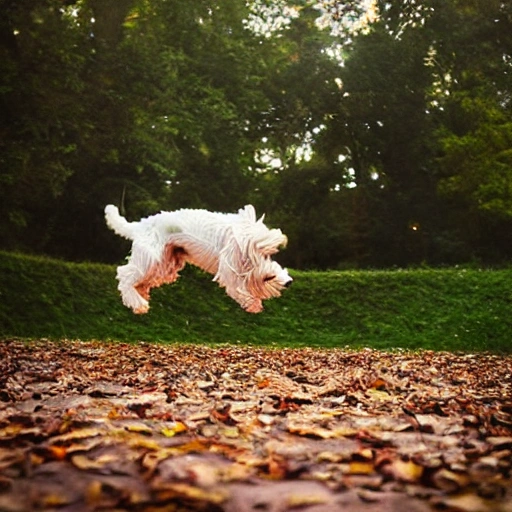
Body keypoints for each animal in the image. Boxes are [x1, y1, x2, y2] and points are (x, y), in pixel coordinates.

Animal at [104, 203, 292, 314]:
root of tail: (140, 225)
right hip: (150, 259)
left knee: (139, 282)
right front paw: (252, 303)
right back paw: (137, 303)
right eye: (266, 254)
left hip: (164, 265)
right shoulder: (230, 269)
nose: (290, 282)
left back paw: (140, 299)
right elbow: (240, 287)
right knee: (124, 275)